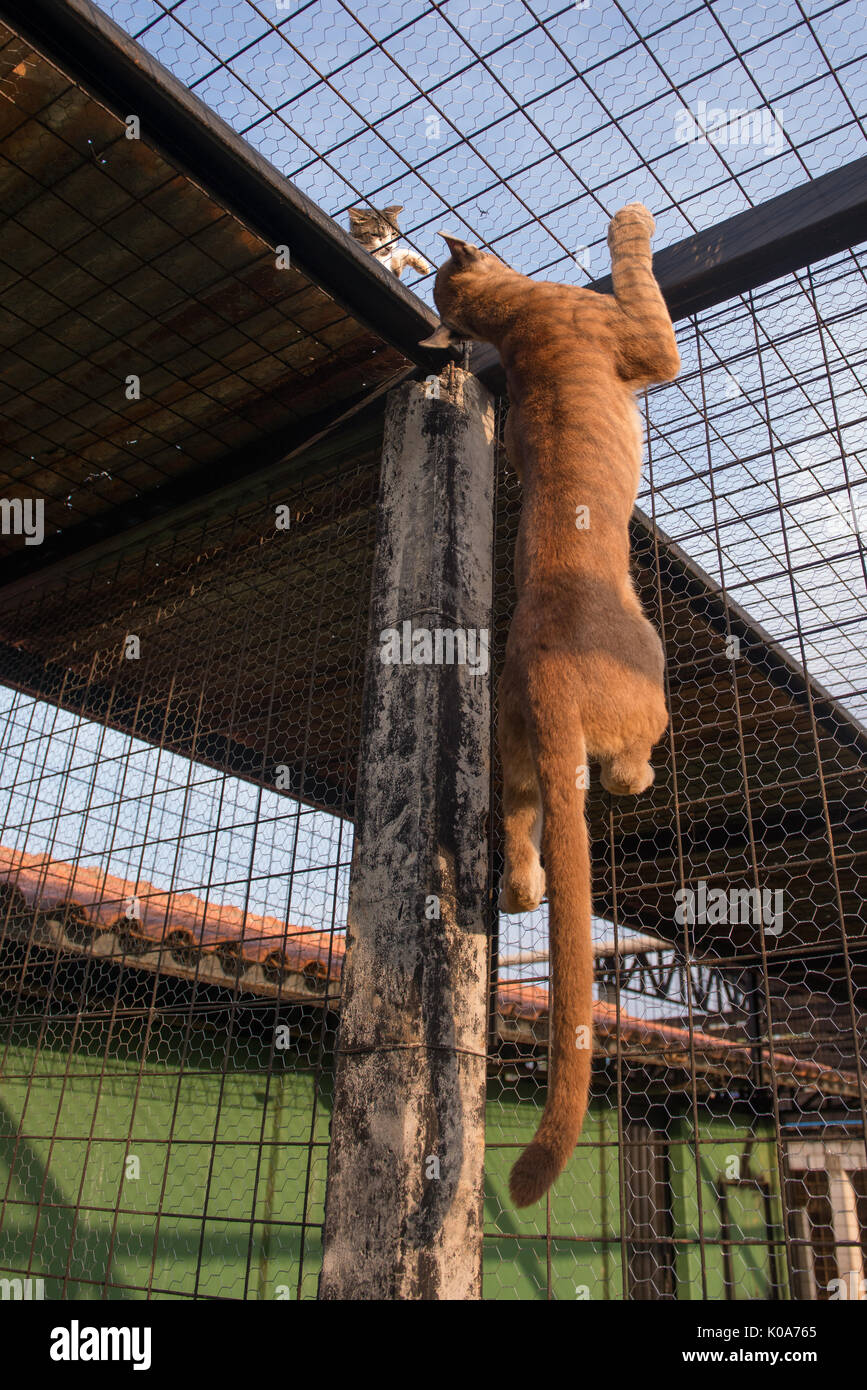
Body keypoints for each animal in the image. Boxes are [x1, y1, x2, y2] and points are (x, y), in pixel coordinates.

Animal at [422, 205, 683, 1206]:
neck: (521, 314)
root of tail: (547, 671)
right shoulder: (645, 343)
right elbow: (639, 279)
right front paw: (629, 219)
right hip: (648, 685)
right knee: (622, 769)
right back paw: (636, 778)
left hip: (514, 751)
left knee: (522, 830)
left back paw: (522, 888)